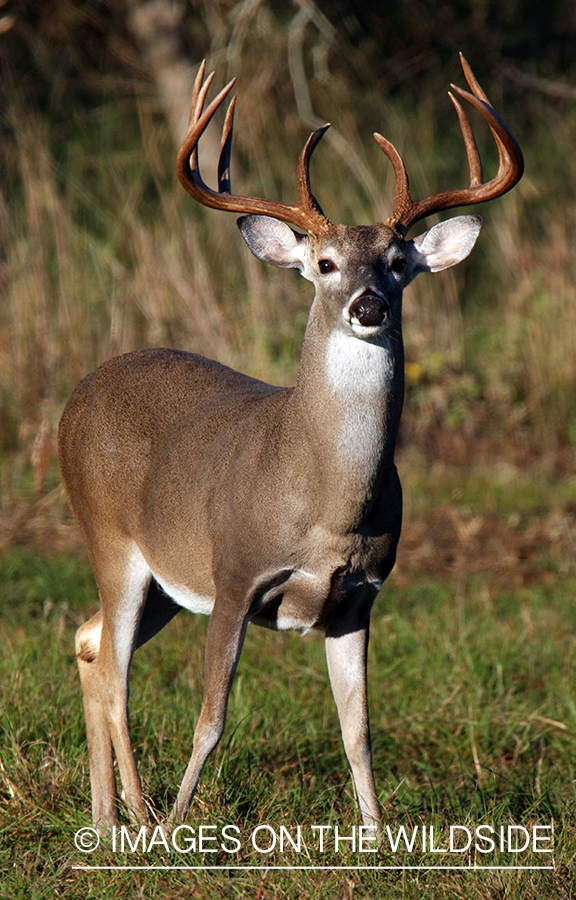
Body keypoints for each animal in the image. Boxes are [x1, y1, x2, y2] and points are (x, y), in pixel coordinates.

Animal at [57, 56, 520, 832]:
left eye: (398, 261)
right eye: (326, 264)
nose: (370, 304)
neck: (327, 503)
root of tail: (74, 398)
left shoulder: (359, 599)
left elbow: (358, 729)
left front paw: (377, 836)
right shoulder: (236, 573)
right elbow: (210, 718)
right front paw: (181, 825)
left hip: (163, 581)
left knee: (89, 645)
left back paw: (106, 821)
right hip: (110, 538)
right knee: (116, 673)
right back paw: (145, 821)